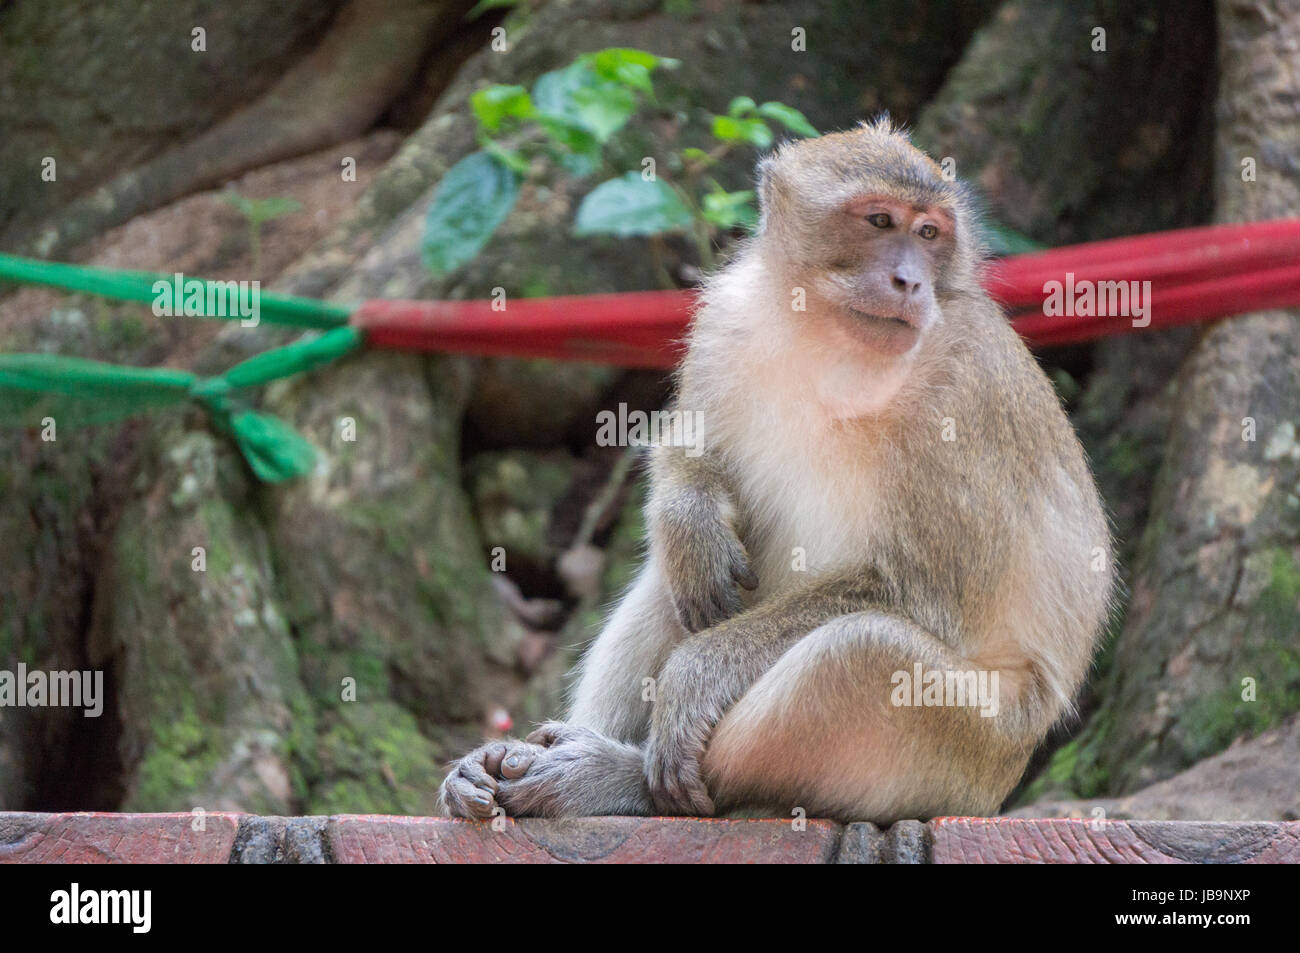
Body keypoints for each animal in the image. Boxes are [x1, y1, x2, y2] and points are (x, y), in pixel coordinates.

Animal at [441, 117, 1112, 816]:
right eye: (879, 221)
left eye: (929, 234)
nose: (911, 282)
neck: (830, 342)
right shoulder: (727, 313)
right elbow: (696, 447)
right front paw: (687, 512)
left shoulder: (965, 395)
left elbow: (923, 591)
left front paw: (693, 675)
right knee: (685, 577)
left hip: (974, 757)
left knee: (860, 654)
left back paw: (618, 781)